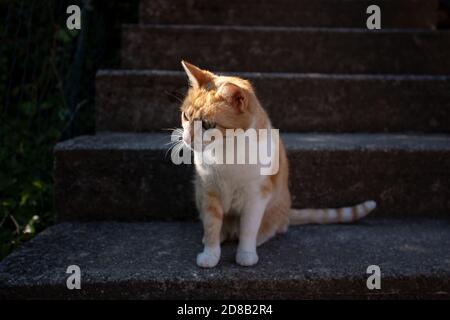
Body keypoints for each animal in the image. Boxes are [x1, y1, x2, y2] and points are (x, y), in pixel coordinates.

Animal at [178, 60, 378, 268]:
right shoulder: (208, 192)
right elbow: (212, 226)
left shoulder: (257, 196)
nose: (186, 138)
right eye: (186, 116)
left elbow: (249, 228)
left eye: (208, 125)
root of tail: (287, 211)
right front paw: (210, 254)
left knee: (272, 227)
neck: (226, 153)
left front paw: (246, 253)